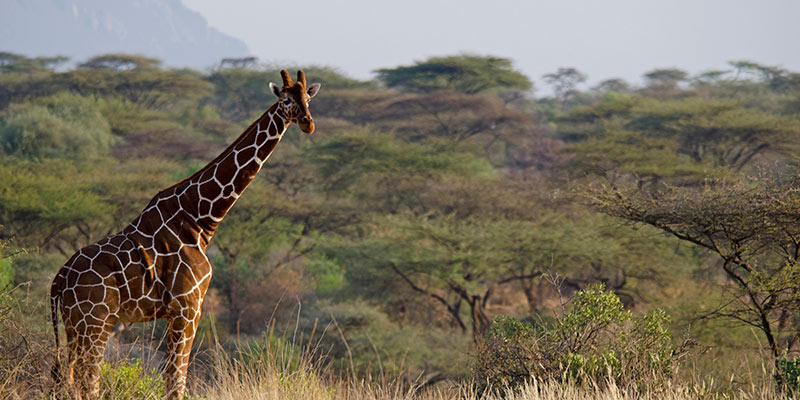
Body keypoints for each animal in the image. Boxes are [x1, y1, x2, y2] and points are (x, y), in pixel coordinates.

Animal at [49, 70, 321, 400]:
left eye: (308, 98)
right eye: (285, 101)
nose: (308, 123)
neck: (198, 220)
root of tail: (59, 279)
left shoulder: (178, 311)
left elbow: (172, 380)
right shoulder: (188, 307)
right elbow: (176, 382)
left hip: (74, 326)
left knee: (68, 380)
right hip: (96, 321)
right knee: (88, 382)